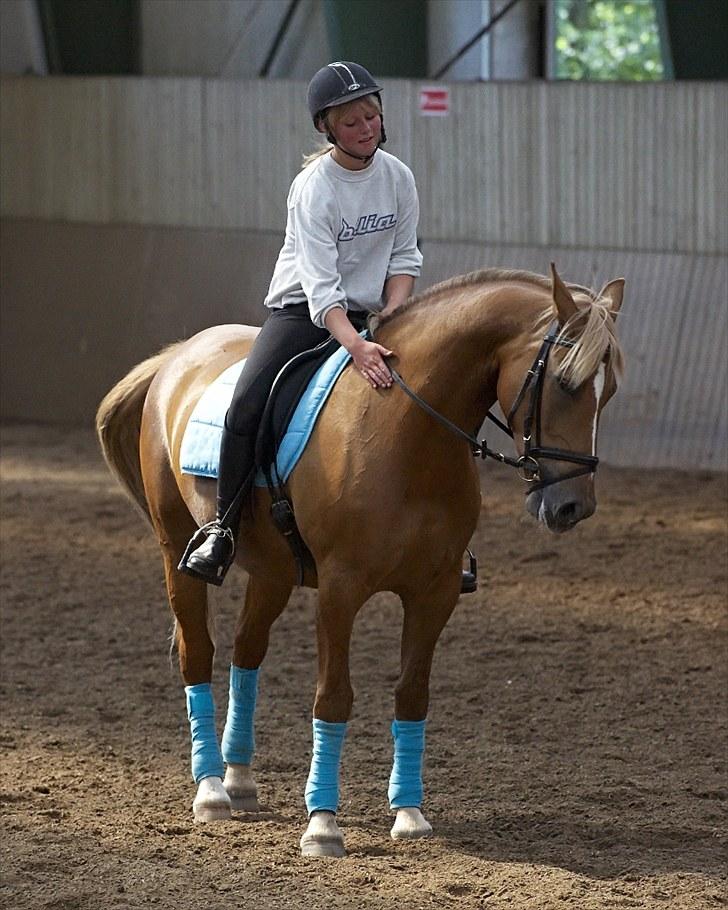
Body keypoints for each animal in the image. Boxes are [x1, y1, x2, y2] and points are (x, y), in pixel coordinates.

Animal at [94, 262, 624, 856]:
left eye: (608, 391)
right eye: (565, 383)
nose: (573, 506)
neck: (409, 433)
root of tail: (178, 355)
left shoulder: (435, 592)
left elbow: (412, 694)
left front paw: (410, 814)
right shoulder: (340, 590)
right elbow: (333, 698)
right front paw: (323, 824)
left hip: (273, 571)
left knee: (246, 652)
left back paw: (240, 781)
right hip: (176, 546)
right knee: (198, 653)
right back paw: (210, 790)